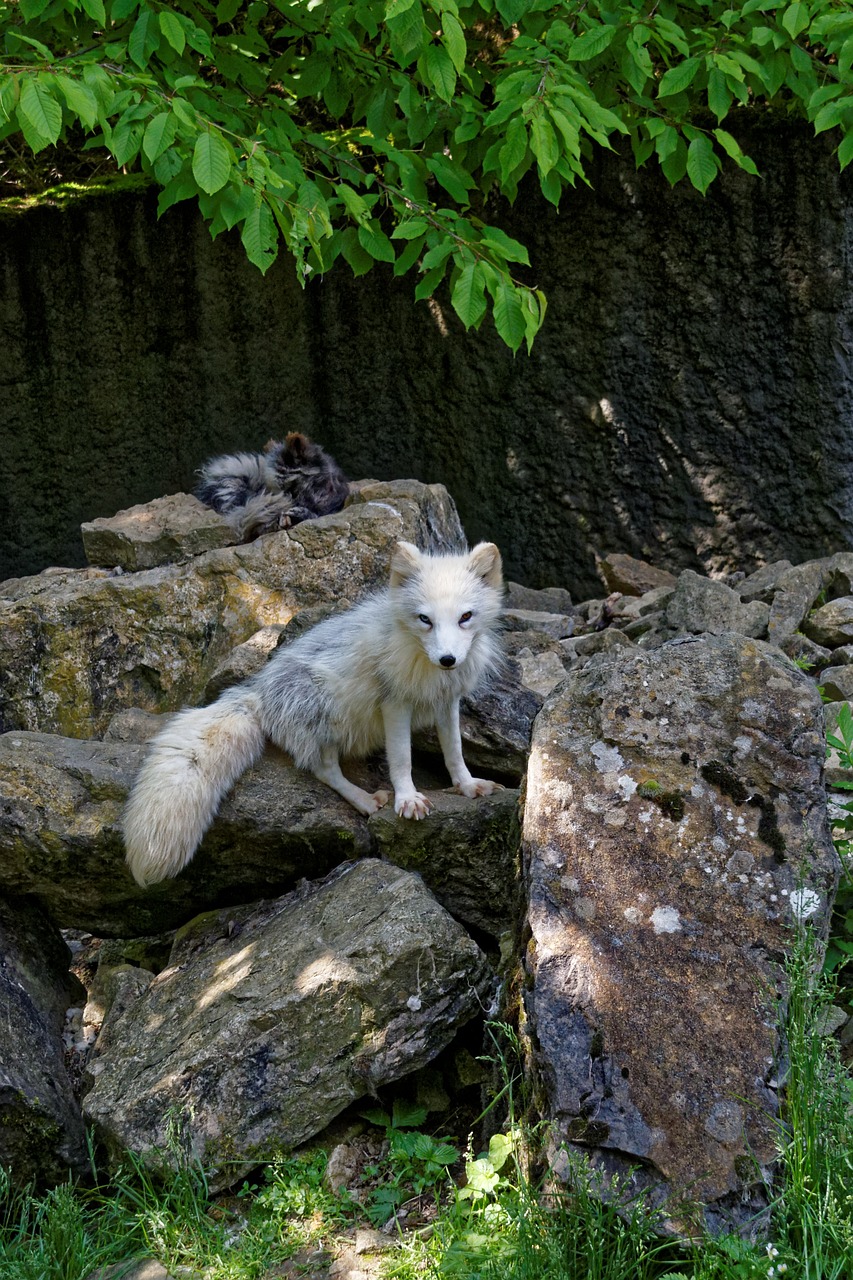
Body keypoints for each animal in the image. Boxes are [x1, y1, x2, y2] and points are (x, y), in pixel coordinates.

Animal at [122, 535, 502, 885]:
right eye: (425, 619)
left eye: (465, 617)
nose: (448, 659)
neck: (424, 664)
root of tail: (258, 691)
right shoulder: (394, 703)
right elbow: (401, 759)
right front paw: (407, 798)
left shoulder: (447, 701)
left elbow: (454, 750)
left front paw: (467, 785)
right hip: (325, 714)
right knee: (323, 769)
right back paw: (364, 800)